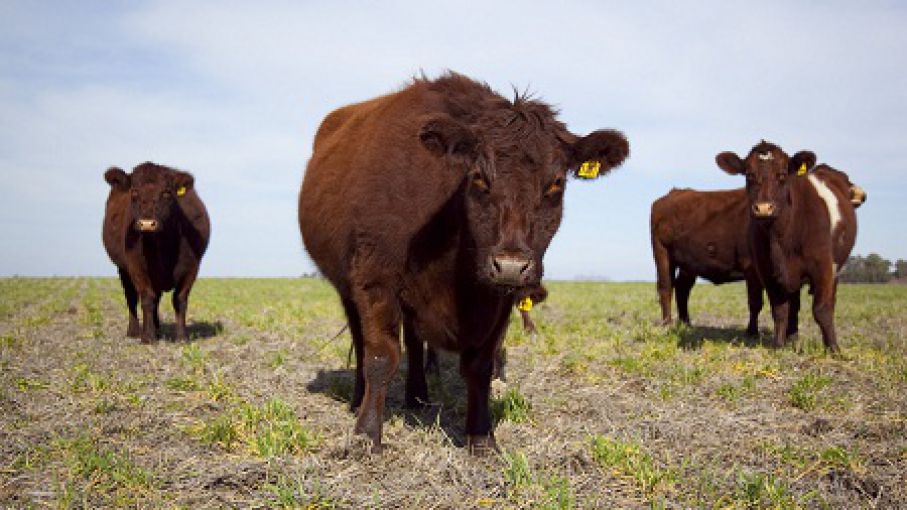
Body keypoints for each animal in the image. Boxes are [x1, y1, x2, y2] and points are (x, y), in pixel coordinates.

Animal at [102, 160, 210, 342]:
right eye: (134, 192)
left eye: (166, 192)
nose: (147, 224)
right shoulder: (136, 266)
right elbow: (146, 297)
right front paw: (148, 337)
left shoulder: (192, 266)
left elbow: (180, 299)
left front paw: (181, 337)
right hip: (122, 268)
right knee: (131, 297)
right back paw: (134, 331)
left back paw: (157, 328)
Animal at [302, 72, 628, 450]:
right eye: (479, 178)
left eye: (556, 184)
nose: (511, 265)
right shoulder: (375, 279)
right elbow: (381, 357)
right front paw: (367, 436)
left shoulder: (500, 299)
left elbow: (479, 366)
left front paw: (482, 437)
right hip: (347, 286)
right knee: (361, 338)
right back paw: (358, 399)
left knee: (415, 343)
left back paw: (417, 397)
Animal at [648, 165, 868, 336]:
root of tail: (673, 193)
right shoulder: (752, 267)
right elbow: (755, 302)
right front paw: (752, 331)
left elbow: (793, 304)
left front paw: (791, 334)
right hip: (662, 253)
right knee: (666, 287)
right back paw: (667, 324)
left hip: (689, 263)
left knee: (682, 289)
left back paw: (686, 323)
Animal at [716, 141, 860, 352]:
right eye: (749, 174)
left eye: (783, 174)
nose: (764, 208)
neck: (781, 240)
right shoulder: (768, 271)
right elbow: (780, 310)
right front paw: (779, 344)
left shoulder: (824, 267)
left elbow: (822, 310)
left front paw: (833, 348)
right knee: (794, 304)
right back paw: (792, 337)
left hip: (835, 269)